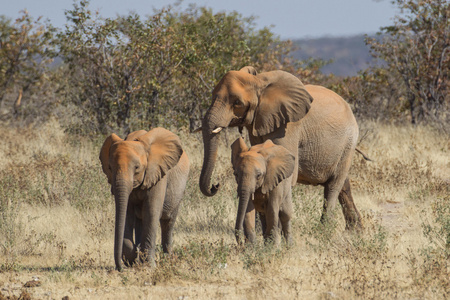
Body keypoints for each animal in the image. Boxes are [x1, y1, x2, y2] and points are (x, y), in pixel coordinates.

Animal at [99, 127, 189, 270]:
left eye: (137, 168)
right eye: (110, 168)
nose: (120, 268)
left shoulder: (157, 174)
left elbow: (151, 212)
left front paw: (148, 266)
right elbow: (127, 214)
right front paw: (132, 260)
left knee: (167, 221)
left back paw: (168, 259)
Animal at [200, 67, 362, 243]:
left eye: (237, 102)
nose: (215, 186)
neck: (259, 82)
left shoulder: (288, 125)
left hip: (348, 142)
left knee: (333, 186)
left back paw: (323, 232)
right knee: (343, 185)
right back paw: (355, 230)